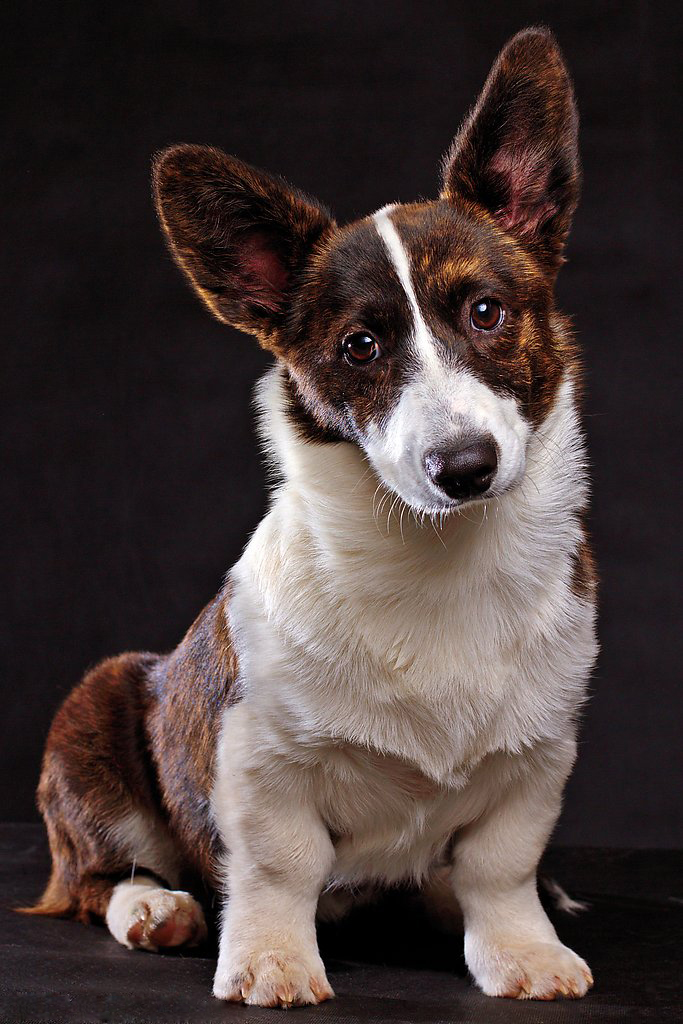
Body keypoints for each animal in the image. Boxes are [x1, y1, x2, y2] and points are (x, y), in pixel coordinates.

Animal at [28, 25, 598, 1007]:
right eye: (358, 346)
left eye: (486, 312)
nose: (463, 468)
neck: (438, 559)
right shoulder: (262, 762)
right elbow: (279, 865)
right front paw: (271, 962)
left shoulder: (534, 762)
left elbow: (500, 867)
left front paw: (524, 953)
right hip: (94, 712)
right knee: (97, 879)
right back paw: (154, 909)